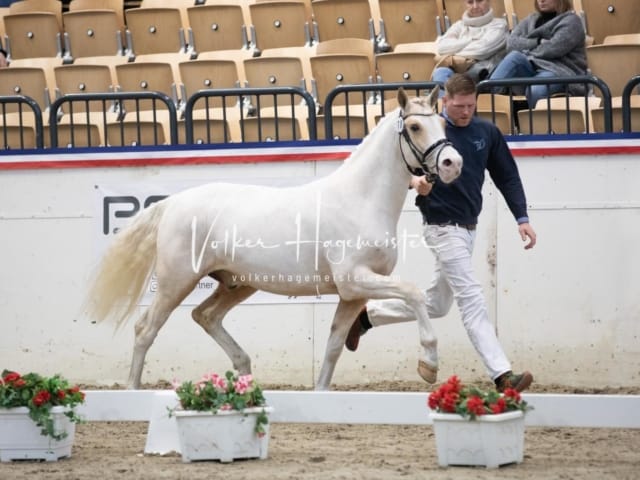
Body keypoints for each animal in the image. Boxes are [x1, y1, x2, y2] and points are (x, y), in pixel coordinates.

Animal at [87, 88, 462, 390]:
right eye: (415, 127)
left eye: (444, 126)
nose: (452, 163)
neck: (359, 200)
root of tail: (172, 203)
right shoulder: (355, 280)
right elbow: (413, 293)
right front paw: (429, 363)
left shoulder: (352, 295)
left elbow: (333, 346)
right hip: (175, 282)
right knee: (146, 329)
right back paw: (134, 391)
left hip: (237, 283)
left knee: (206, 317)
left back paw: (244, 372)